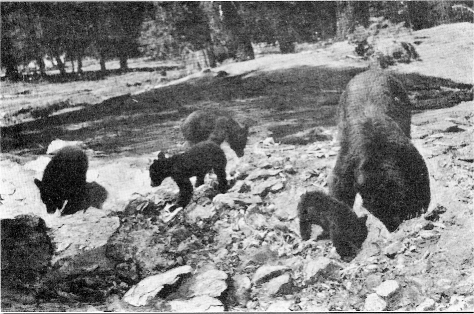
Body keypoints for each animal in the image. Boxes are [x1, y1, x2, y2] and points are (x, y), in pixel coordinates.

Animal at [330, 69, 430, 231]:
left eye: (395, 206)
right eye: (378, 212)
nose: (392, 227)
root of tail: (372, 71)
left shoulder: (403, 150)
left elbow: (419, 172)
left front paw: (418, 208)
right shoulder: (349, 157)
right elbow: (339, 185)